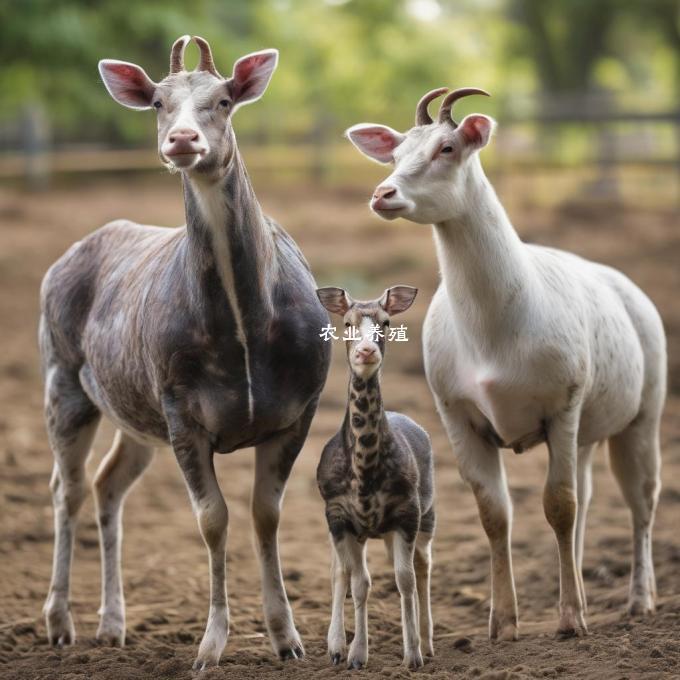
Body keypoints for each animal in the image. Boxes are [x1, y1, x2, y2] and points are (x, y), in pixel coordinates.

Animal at [348, 89, 668, 636]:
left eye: (447, 147)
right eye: (394, 154)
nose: (383, 194)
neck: (494, 335)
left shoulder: (563, 401)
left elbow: (557, 505)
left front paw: (569, 620)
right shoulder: (456, 412)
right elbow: (495, 513)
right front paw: (502, 622)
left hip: (643, 410)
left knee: (640, 499)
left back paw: (638, 599)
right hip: (586, 428)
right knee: (586, 497)